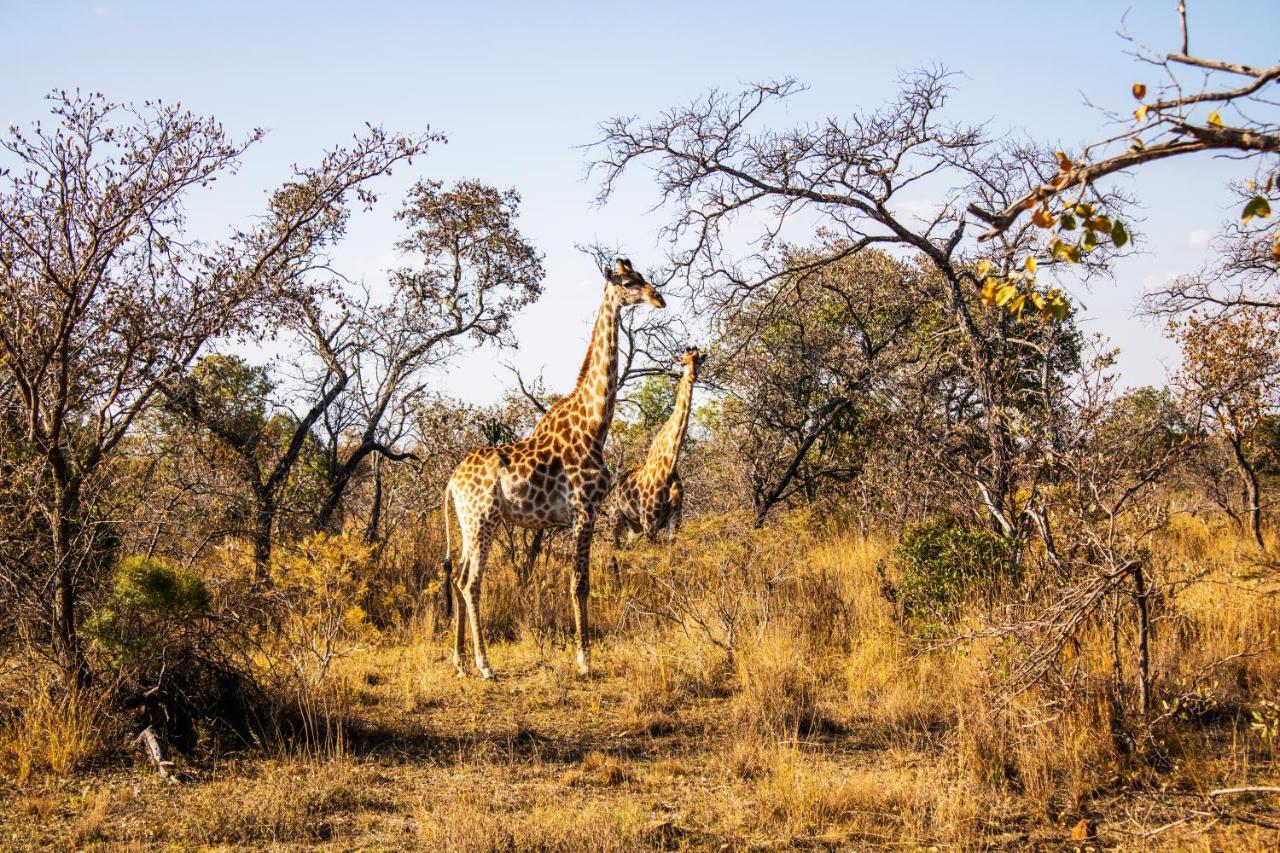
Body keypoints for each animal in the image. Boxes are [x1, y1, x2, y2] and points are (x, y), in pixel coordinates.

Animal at [442, 256, 665, 676]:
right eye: (629, 282)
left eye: (644, 277)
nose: (658, 299)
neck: (595, 425)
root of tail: (451, 482)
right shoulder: (584, 511)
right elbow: (579, 583)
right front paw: (584, 661)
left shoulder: (583, 515)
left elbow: (580, 582)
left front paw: (583, 657)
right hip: (483, 519)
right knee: (470, 582)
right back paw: (484, 665)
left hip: (466, 523)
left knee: (459, 575)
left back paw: (460, 662)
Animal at [606, 348, 706, 540]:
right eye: (683, 362)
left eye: (698, 362)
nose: (692, 375)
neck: (669, 465)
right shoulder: (649, 523)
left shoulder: (675, 520)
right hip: (616, 517)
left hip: (634, 527)